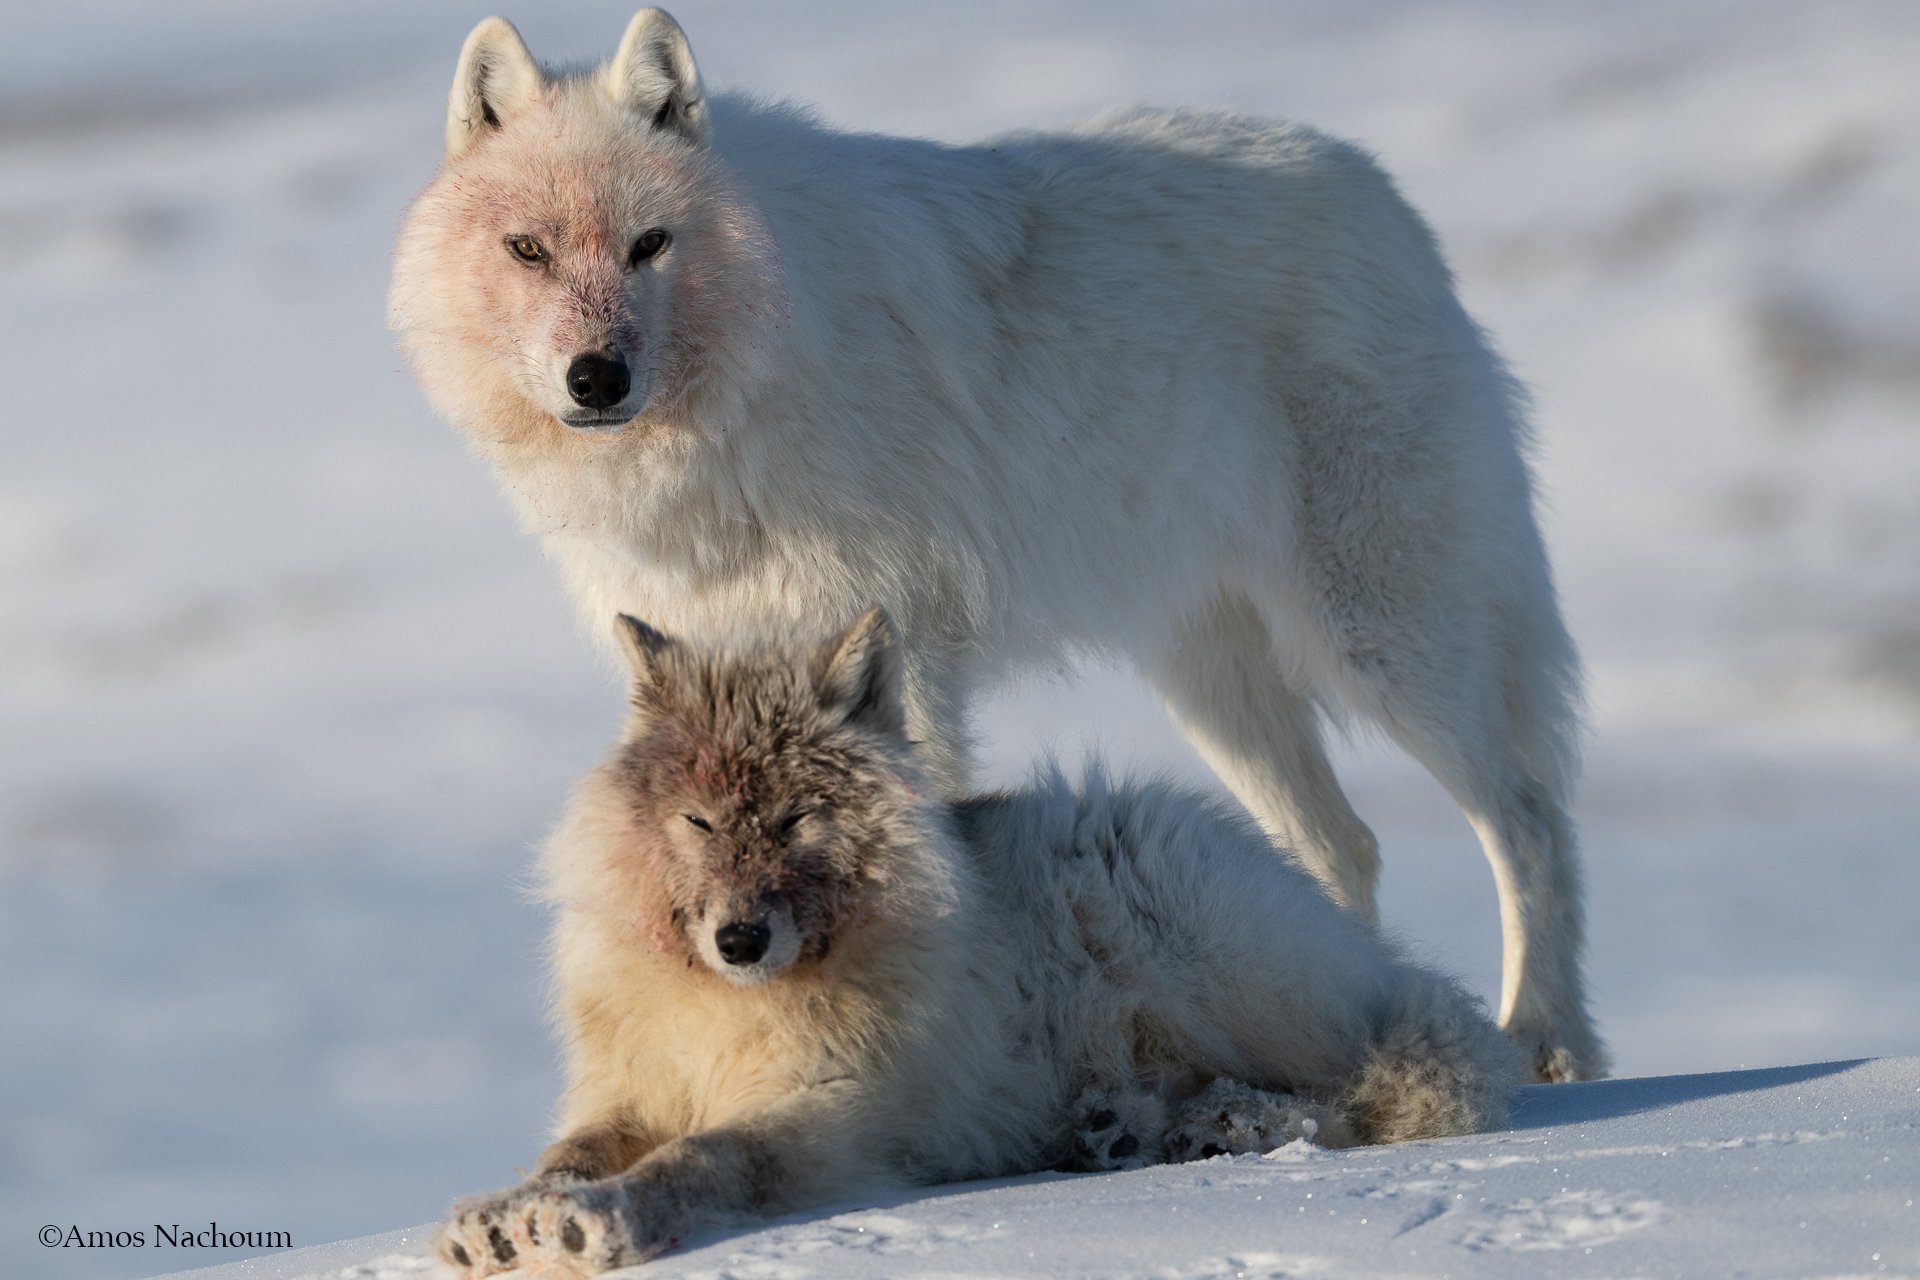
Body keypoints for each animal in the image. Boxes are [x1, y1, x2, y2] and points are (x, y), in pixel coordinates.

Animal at [390, 9, 1604, 1081]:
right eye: (529, 250)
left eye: (651, 245)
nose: (597, 377)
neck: (743, 397)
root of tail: (1375, 184)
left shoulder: (901, 663)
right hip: (1211, 683)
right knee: (1340, 847)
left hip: (1383, 641)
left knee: (1530, 817)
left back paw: (1546, 1039)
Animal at [433, 610, 1521, 1278]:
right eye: (698, 822)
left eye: (795, 820)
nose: (740, 936)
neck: (730, 1007)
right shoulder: (624, 1090)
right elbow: (566, 1151)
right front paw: (503, 1215)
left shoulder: (822, 1113)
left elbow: (697, 1160)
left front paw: (598, 1221)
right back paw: (1131, 1129)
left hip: (1196, 941)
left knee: (1394, 1086)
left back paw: (1226, 1126)